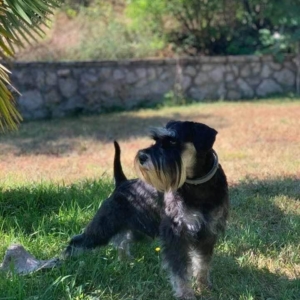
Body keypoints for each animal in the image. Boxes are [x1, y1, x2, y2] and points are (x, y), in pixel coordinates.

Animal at [65, 120, 229, 298]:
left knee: (121, 240)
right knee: (76, 242)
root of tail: (121, 183)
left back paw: (125, 261)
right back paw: (63, 263)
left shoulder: (208, 232)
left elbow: (202, 263)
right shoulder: (176, 234)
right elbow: (180, 271)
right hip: (103, 227)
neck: (198, 185)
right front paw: (186, 294)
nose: (142, 156)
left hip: (138, 230)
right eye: (155, 140)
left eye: (172, 141)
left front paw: (204, 287)